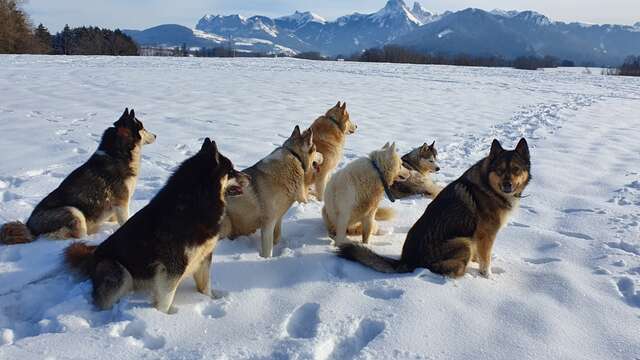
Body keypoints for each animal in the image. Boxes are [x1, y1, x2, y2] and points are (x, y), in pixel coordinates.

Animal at [0, 108, 155, 246]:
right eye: (142, 127)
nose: (156, 135)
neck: (118, 153)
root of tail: (29, 226)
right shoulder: (121, 202)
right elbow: (124, 220)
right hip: (74, 212)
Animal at [62, 139, 248, 314]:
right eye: (231, 171)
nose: (249, 177)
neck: (196, 204)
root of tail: (92, 257)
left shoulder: (204, 256)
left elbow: (206, 286)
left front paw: (209, 300)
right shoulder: (172, 266)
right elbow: (167, 297)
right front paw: (163, 316)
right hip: (119, 272)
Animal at [340, 138, 528, 278]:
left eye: (516, 170)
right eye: (500, 170)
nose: (508, 185)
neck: (489, 185)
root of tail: (406, 260)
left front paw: (477, 262)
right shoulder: (486, 234)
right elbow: (485, 260)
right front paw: (487, 275)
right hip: (462, 242)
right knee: (441, 268)